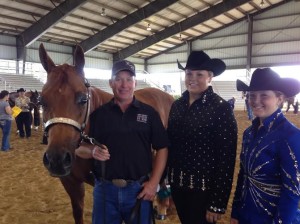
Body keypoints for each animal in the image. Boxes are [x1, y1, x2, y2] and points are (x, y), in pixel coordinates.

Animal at [38, 43, 173, 224]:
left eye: (83, 99)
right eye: (41, 101)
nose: (56, 159)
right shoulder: (71, 183)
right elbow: (78, 212)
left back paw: (163, 208)